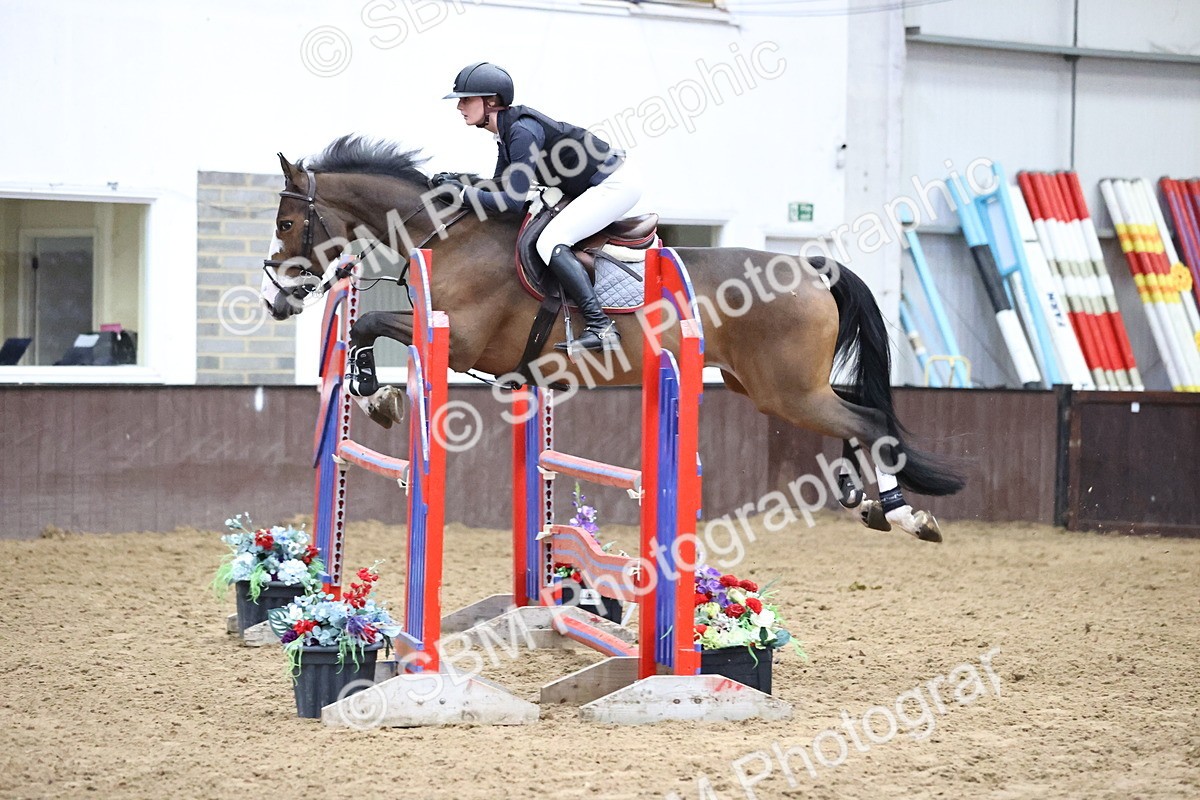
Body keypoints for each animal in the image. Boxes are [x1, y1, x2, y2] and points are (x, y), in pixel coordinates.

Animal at [263, 136, 963, 541]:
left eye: (289, 223)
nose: (274, 297)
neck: (451, 235)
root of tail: (813, 268)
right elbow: (366, 328)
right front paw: (376, 394)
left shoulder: (458, 341)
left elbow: (368, 324)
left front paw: (377, 396)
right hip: (766, 387)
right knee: (859, 414)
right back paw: (869, 503)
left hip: (787, 390)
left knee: (869, 420)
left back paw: (906, 513)